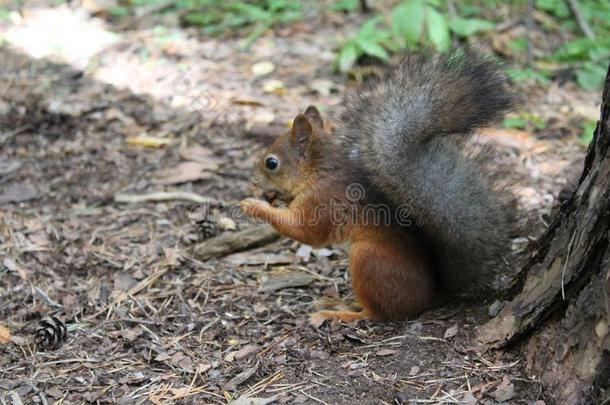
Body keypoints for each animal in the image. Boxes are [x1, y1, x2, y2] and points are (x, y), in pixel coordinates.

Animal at [240, 50, 516, 322]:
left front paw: (254, 206)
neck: (318, 173)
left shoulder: (323, 202)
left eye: (271, 163)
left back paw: (339, 312)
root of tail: (429, 297)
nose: (253, 182)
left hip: (367, 257)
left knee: (377, 313)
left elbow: (306, 232)